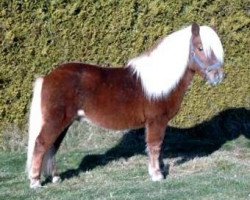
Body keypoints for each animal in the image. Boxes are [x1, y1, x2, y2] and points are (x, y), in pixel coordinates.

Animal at [26, 23, 225, 188]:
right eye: (200, 48)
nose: (218, 76)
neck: (159, 81)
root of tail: (48, 77)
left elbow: (157, 147)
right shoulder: (156, 121)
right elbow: (155, 146)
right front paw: (157, 175)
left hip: (64, 123)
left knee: (52, 147)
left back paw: (55, 177)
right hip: (56, 121)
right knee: (41, 143)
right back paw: (35, 182)